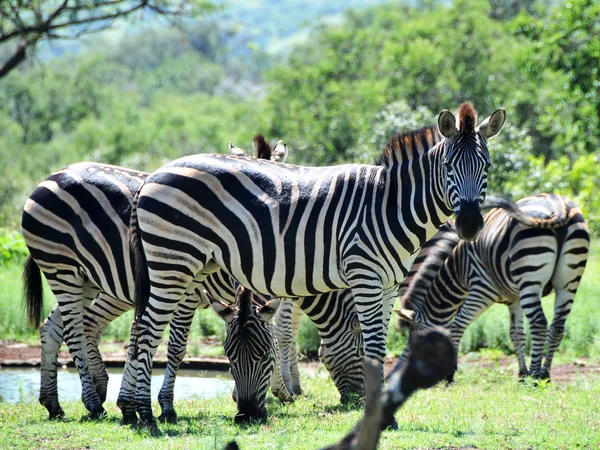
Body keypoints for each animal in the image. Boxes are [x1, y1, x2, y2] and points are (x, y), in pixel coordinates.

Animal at [20, 134, 288, 422]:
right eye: (231, 355)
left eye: (264, 355)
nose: (248, 412)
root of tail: (51, 176)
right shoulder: (188, 292)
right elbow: (175, 347)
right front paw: (165, 406)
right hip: (62, 268)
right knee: (75, 331)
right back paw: (92, 402)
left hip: (85, 279)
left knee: (53, 327)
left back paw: (53, 403)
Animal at [125, 100, 506, 428]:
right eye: (448, 168)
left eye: (486, 167)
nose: (469, 225)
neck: (389, 206)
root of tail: (153, 175)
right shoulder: (365, 275)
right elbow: (372, 346)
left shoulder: (389, 284)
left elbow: (380, 344)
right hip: (171, 263)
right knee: (147, 332)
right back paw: (145, 415)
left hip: (190, 268)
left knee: (143, 329)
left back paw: (138, 411)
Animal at [396, 193, 588, 380]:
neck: (459, 267)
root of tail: (559, 207)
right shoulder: (515, 299)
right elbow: (516, 334)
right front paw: (522, 374)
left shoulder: (482, 287)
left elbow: (457, 326)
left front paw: (450, 375)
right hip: (568, 281)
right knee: (557, 327)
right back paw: (544, 374)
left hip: (529, 276)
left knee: (539, 323)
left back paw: (535, 377)